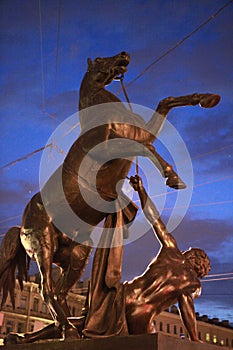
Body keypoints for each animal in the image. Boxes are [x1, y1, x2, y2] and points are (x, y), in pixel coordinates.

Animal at [0, 52, 220, 342]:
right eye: (100, 59)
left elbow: (164, 104)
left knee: (59, 292)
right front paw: (173, 178)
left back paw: (60, 332)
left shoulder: (138, 133)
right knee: (46, 289)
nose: (124, 55)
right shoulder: (113, 146)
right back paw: (65, 331)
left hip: (76, 254)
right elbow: (146, 146)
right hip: (42, 247)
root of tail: (22, 225)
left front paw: (207, 98)